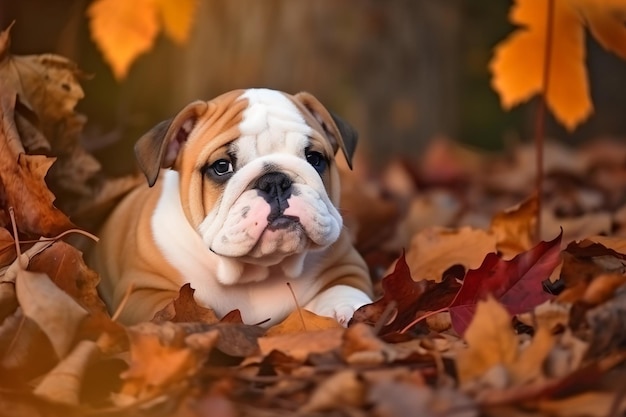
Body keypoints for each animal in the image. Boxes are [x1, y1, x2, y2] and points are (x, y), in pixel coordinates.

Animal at [94, 89, 370, 326]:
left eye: (314, 158)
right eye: (221, 166)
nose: (275, 181)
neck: (258, 271)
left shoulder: (346, 265)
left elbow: (344, 290)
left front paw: (346, 311)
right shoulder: (143, 291)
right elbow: (168, 310)